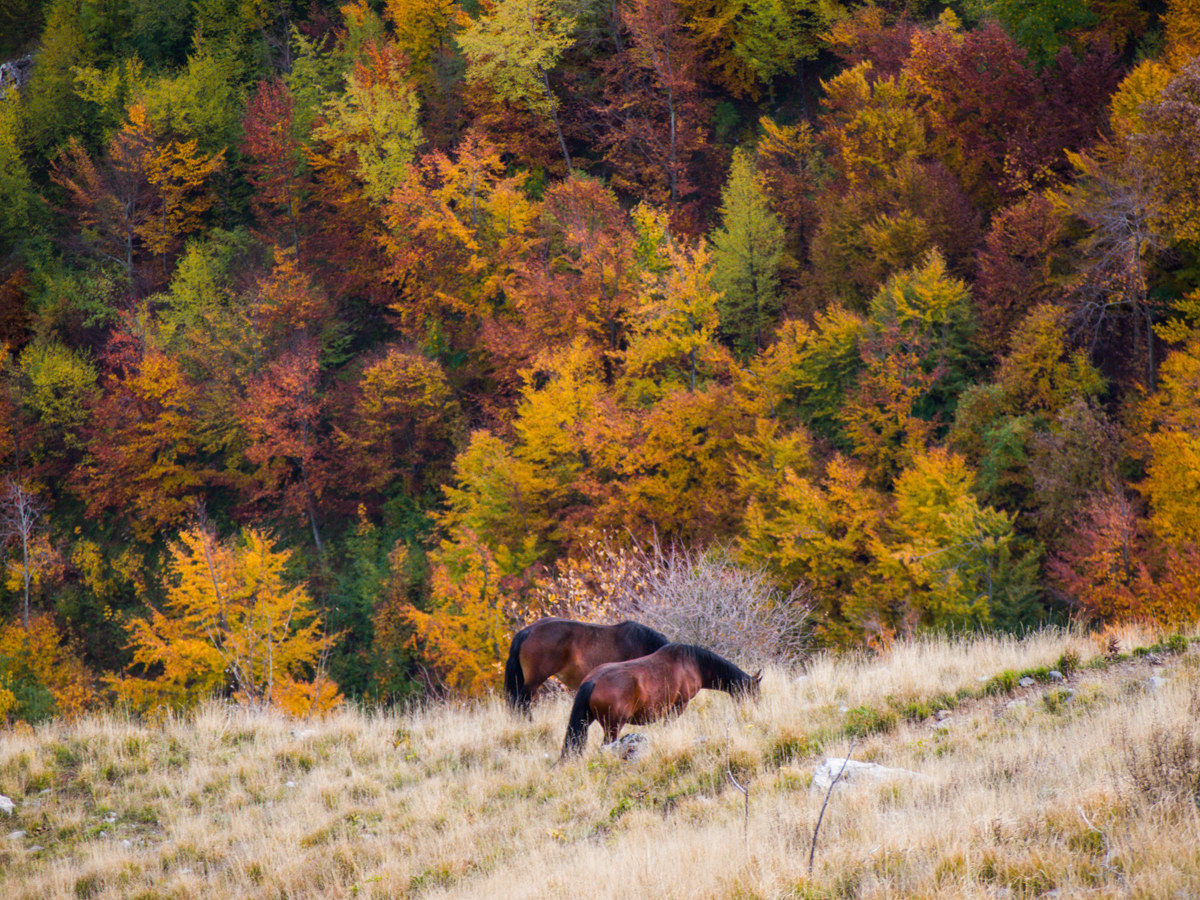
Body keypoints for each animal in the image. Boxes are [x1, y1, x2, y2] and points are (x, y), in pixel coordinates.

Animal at [561, 643, 761, 757]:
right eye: (754, 693)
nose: (755, 712)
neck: (694, 663)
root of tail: (592, 680)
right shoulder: (678, 706)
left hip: (588, 720)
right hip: (613, 727)